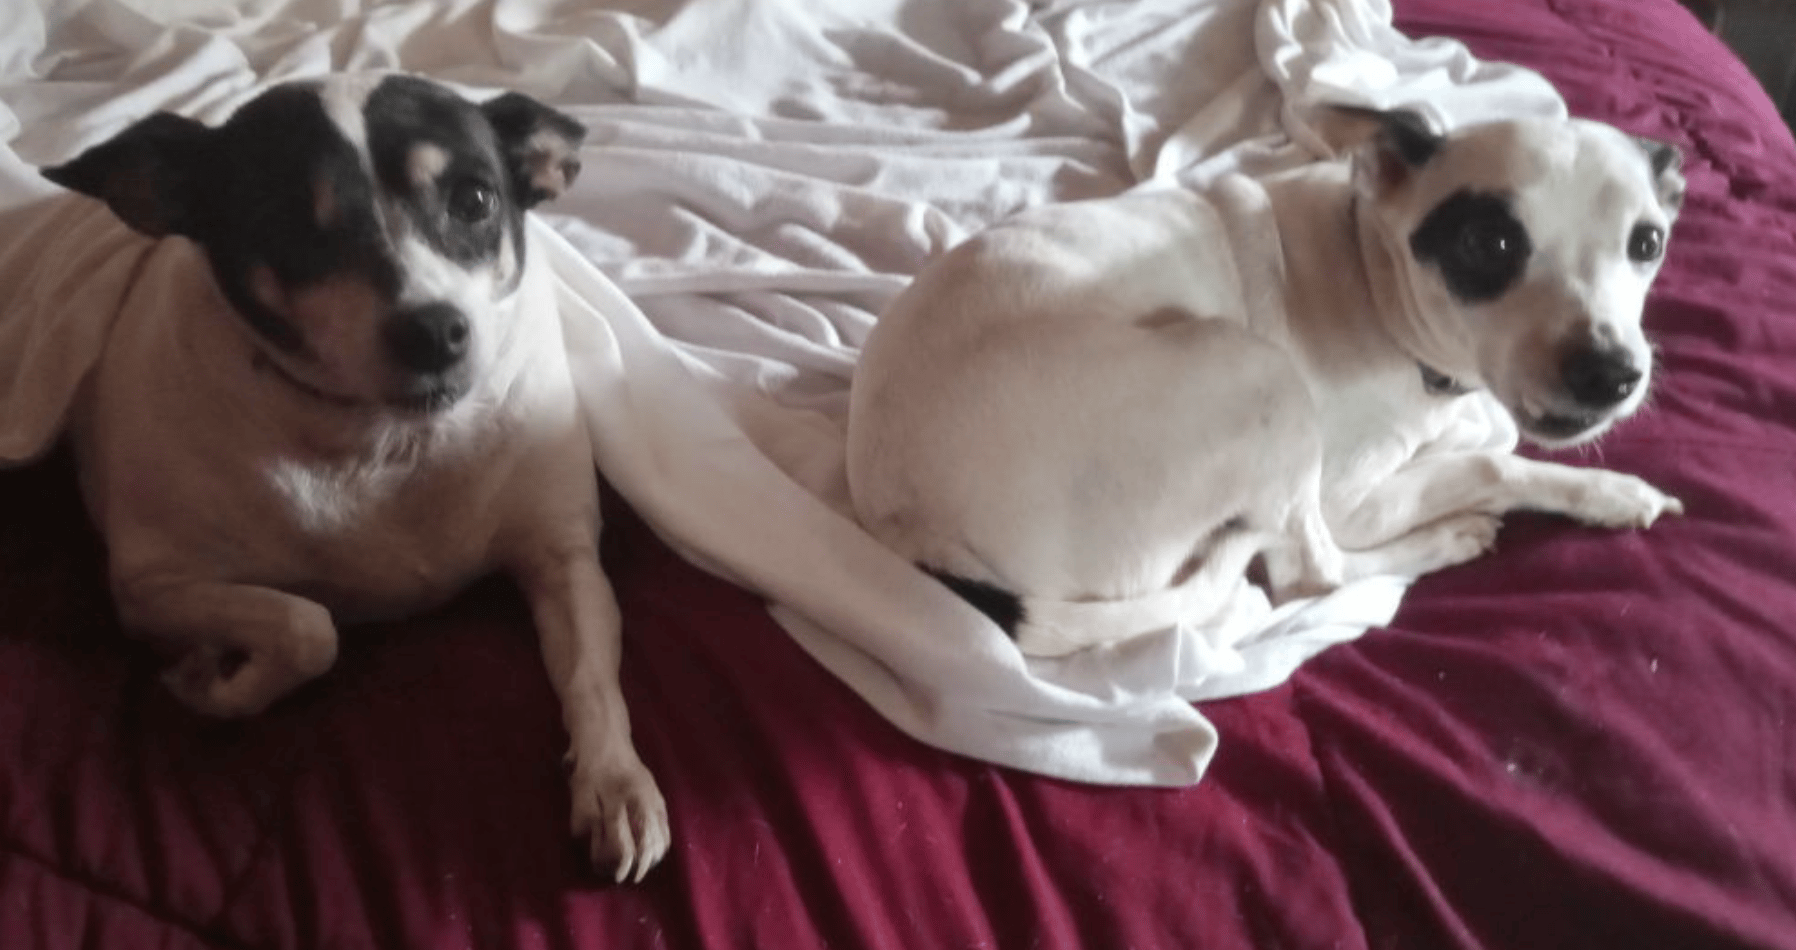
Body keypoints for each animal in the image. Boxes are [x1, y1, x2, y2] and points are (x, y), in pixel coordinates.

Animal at [29, 74, 667, 881]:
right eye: (292, 226)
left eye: (475, 200)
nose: (435, 331)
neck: (391, 441)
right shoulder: (150, 587)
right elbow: (309, 627)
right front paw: (215, 683)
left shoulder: (566, 558)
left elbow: (593, 679)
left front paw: (614, 783)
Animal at [846, 110, 1686, 657]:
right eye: (1490, 242)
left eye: (1648, 244)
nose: (1612, 375)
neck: (1369, 265)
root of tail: (907, 525)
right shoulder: (1349, 496)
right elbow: (1492, 463)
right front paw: (1609, 494)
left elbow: (1495, 439)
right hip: (1262, 379)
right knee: (1307, 575)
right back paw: (1443, 542)